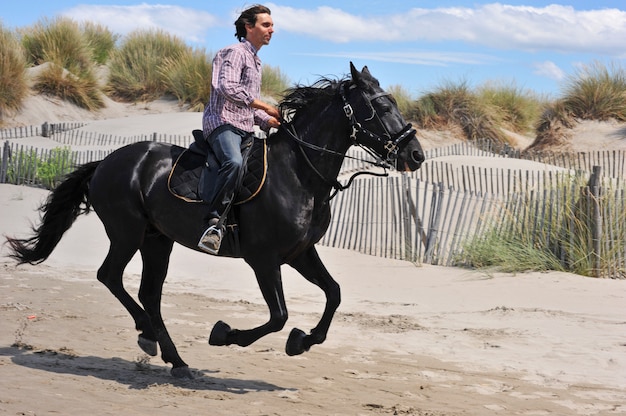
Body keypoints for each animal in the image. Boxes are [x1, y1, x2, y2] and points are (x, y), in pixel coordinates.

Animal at [4, 63, 422, 378]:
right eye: (382, 107)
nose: (415, 155)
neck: (298, 174)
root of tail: (105, 163)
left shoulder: (300, 253)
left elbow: (333, 294)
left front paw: (302, 342)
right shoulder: (264, 259)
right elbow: (279, 316)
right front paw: (225, 334)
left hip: (157, 240)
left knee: (149, 294)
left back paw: (174, 359)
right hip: (127, 233)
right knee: (110, 277)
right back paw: (148, 336)